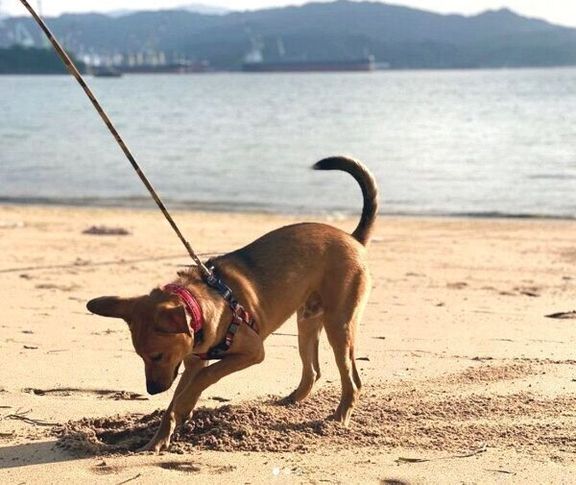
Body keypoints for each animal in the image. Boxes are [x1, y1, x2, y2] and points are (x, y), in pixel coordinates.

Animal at [86, 157, 378, 452]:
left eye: (157, 355)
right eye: (140, 356)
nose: (152, 390)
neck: (199, 306)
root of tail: (353, 238)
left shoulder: (251, 351)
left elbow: (204, 378)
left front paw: (184, 407)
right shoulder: (191, 361)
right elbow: (176, 401)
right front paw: (158, 439)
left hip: (338, 324)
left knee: (352, 380)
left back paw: (338, 419)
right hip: (307, 321)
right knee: (314, 371)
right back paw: (290, 402)